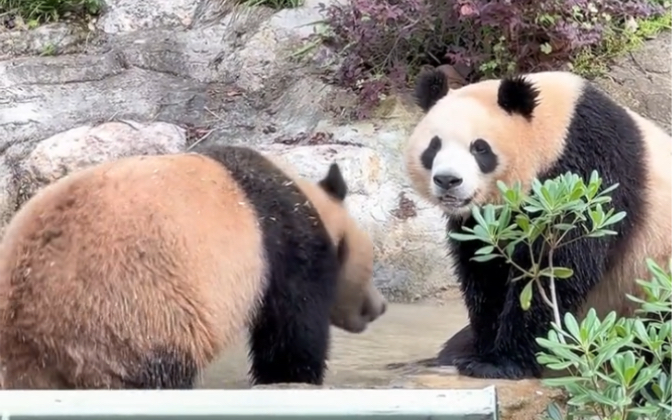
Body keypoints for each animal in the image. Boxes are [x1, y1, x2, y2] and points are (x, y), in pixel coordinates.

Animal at [0, 143, 388, 388]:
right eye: (370, 266)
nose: (380, 306)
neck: (308, 202)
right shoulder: (283, 247)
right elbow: (292, 331)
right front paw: (294, 377)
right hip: (128, 318)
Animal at [404, 67, 672, 378]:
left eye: (479, 148)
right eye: (433, 147)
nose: (448, 180)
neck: (554, 129)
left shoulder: (584, 175)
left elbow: (555, 268)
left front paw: (500, 362)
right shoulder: (483, 218)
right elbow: (485, 269)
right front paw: (479, 350)